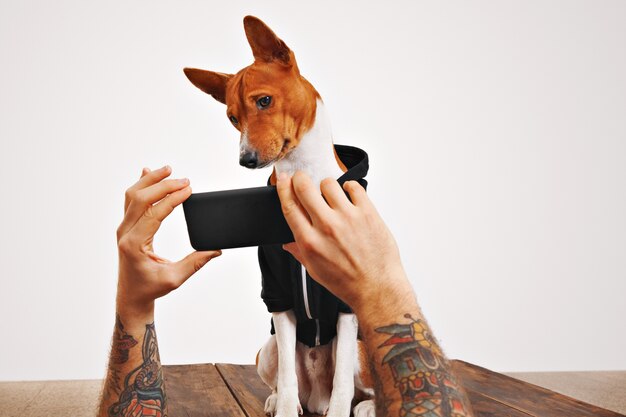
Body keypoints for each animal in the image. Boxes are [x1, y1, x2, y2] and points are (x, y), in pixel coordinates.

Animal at [183, 16, 372, 416]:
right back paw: (276, 400)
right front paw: (283, 406)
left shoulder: (348, 301)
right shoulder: (277, 295)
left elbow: (343, 383)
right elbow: (286, 379)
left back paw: (363, 406)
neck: (303, 179)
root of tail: (315, 395)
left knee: (358, 386)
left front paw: (342, 409)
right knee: (287, 381)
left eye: (264, 100)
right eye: (232, 118)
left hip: (361, 353)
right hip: (265, 350)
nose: (246, 159)